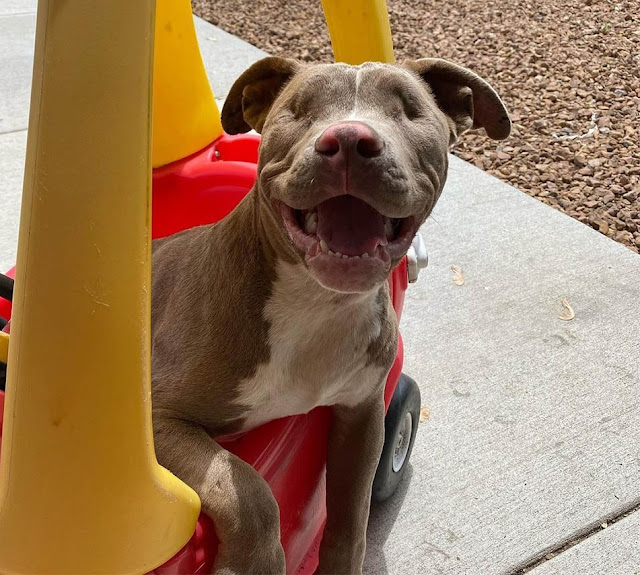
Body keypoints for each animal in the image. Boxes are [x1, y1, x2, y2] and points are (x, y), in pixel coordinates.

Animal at [151, 55, 510, 575]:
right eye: (299, 109)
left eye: (409, 109)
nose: (349, 141)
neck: (316, 303)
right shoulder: (160, 416)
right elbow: (245, 487)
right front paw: (253, 564)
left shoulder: (363, 412)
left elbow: (350, 516)